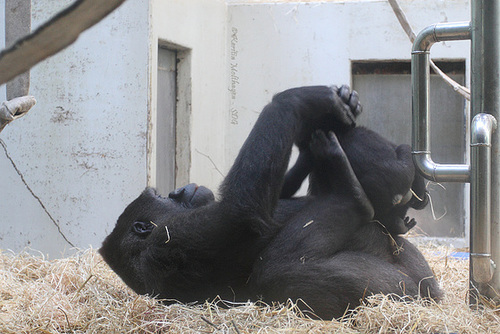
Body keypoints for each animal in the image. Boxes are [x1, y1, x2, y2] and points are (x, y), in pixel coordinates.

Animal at [100, 85, 442, 318]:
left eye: (163, 194)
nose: (180, 190)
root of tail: (432, 301)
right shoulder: (168, 245)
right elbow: (240, 213)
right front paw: (303, 99)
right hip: (401, 294)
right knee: (278, 273)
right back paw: (357, 191)